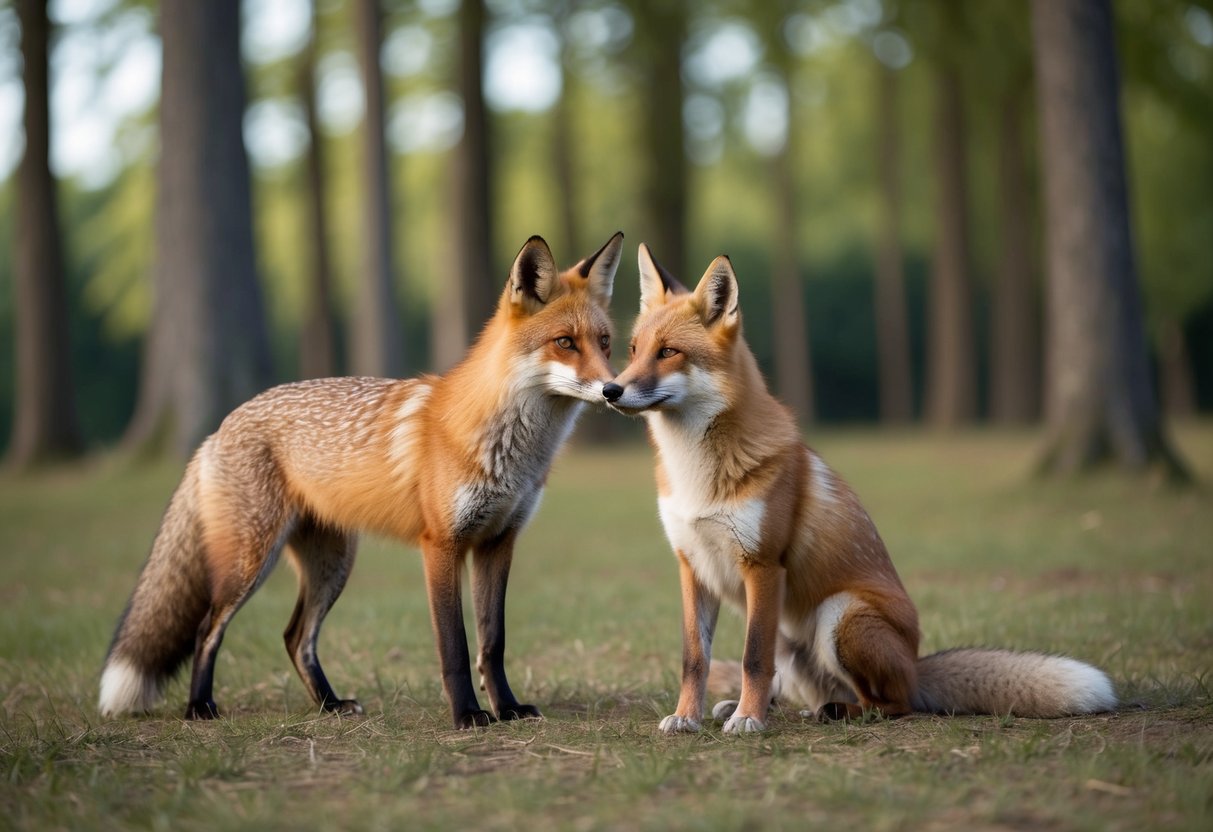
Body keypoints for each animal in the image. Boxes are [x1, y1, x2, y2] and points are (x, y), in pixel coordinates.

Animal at [99, 232, 623, 729]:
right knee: (207, 628)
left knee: (294, 636)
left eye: (605, 342)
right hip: (250, 562)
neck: (510, 448)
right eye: (564, 342)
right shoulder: (441, 544)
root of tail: (217, 428)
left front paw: (507, 708)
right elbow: (454, 646)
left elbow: (492, 643)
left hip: (332, 564)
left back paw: (329, 704)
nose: (613, 389)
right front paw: (467, 716)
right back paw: (199, 706)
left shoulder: (498, 541)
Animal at [602, 244, 1117, 734]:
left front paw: (748, 721)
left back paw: (833, 712)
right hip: (790, 634)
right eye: (633, 349)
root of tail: (916, 666)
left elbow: (752, 658)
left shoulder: (763, 565)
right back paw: (781, 708)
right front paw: (687, 717)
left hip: (839, 613)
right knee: (805, 687)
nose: (610, 390)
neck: (697, 478)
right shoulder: (693, 567)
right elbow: (695, 659)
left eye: (669, 352)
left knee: (890, 703)